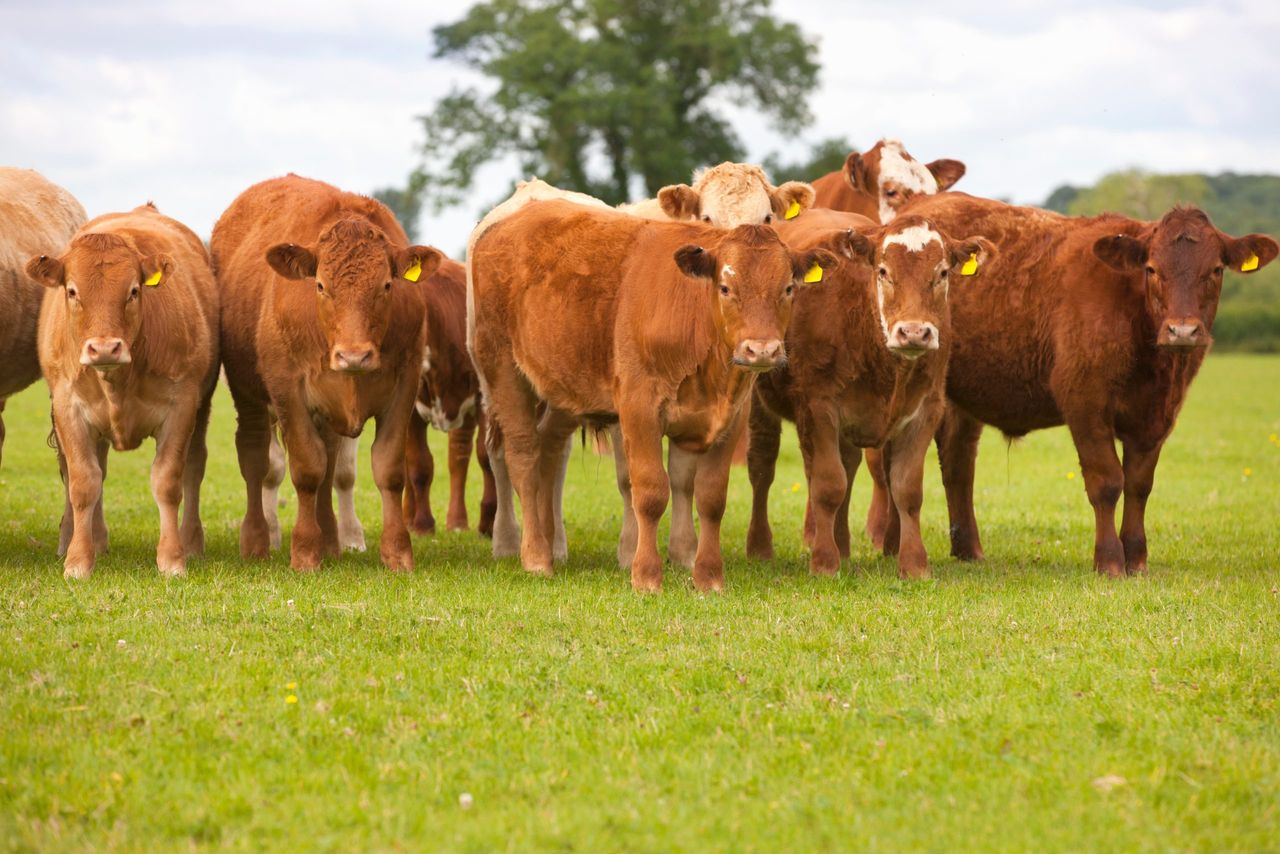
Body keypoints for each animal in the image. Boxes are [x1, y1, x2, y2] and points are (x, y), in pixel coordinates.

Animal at [28, 203, 218, 578]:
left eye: (133, 291)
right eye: (72, 291)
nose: (104, 348)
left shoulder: (182, 406)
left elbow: (168, 481)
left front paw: (172, 559)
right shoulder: (68, 406)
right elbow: (84, 481)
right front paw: (78, 561)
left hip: (202, 406)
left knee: (194, 466)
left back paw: (191, 543)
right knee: (93, 469)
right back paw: (93, 540)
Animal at [212, 174, 434, 572]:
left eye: (387, 285)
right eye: (320, 285)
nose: (354, 356)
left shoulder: (404, 387)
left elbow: (388, 469)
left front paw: (397, 553)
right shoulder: (288, 391)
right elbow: (307, 470)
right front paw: (304, 552)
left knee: (330, 462)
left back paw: (330, 538)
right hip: (247, 395)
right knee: (255, 459)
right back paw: (256, 540)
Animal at [469, 194, 842, 591]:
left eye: (787, 288)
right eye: (725, 288)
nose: (762, 350)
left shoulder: (730, 418)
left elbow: (710, 496)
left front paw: (708, 576)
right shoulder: (639, 407)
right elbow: (649, 491)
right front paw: (646, 575)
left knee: (549, 452)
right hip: (503, 371)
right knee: (523, 456)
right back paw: (536, 556)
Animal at [745, 208, 993, 578]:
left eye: (942, 273)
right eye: (884, 271)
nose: (914, 332)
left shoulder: (926, 409)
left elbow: (906, 488)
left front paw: (914, 565)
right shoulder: (817, 407)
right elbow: (827, 485)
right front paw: (824, 562)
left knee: (848, 466)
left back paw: (843, 544)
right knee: (763, 465)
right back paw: (761, 547)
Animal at [866, 192, 1277, 576]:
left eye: (1216, 270)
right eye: (1152, 269)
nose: (1183, 330)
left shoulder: (1155, 416)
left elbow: (1139, 485)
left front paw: (1136, 558)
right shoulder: (1085, 403)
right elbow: (1107, 481)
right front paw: (1109, 560)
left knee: (957, 463)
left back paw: (968, 549)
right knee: (895, 464)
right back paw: (893, 545)